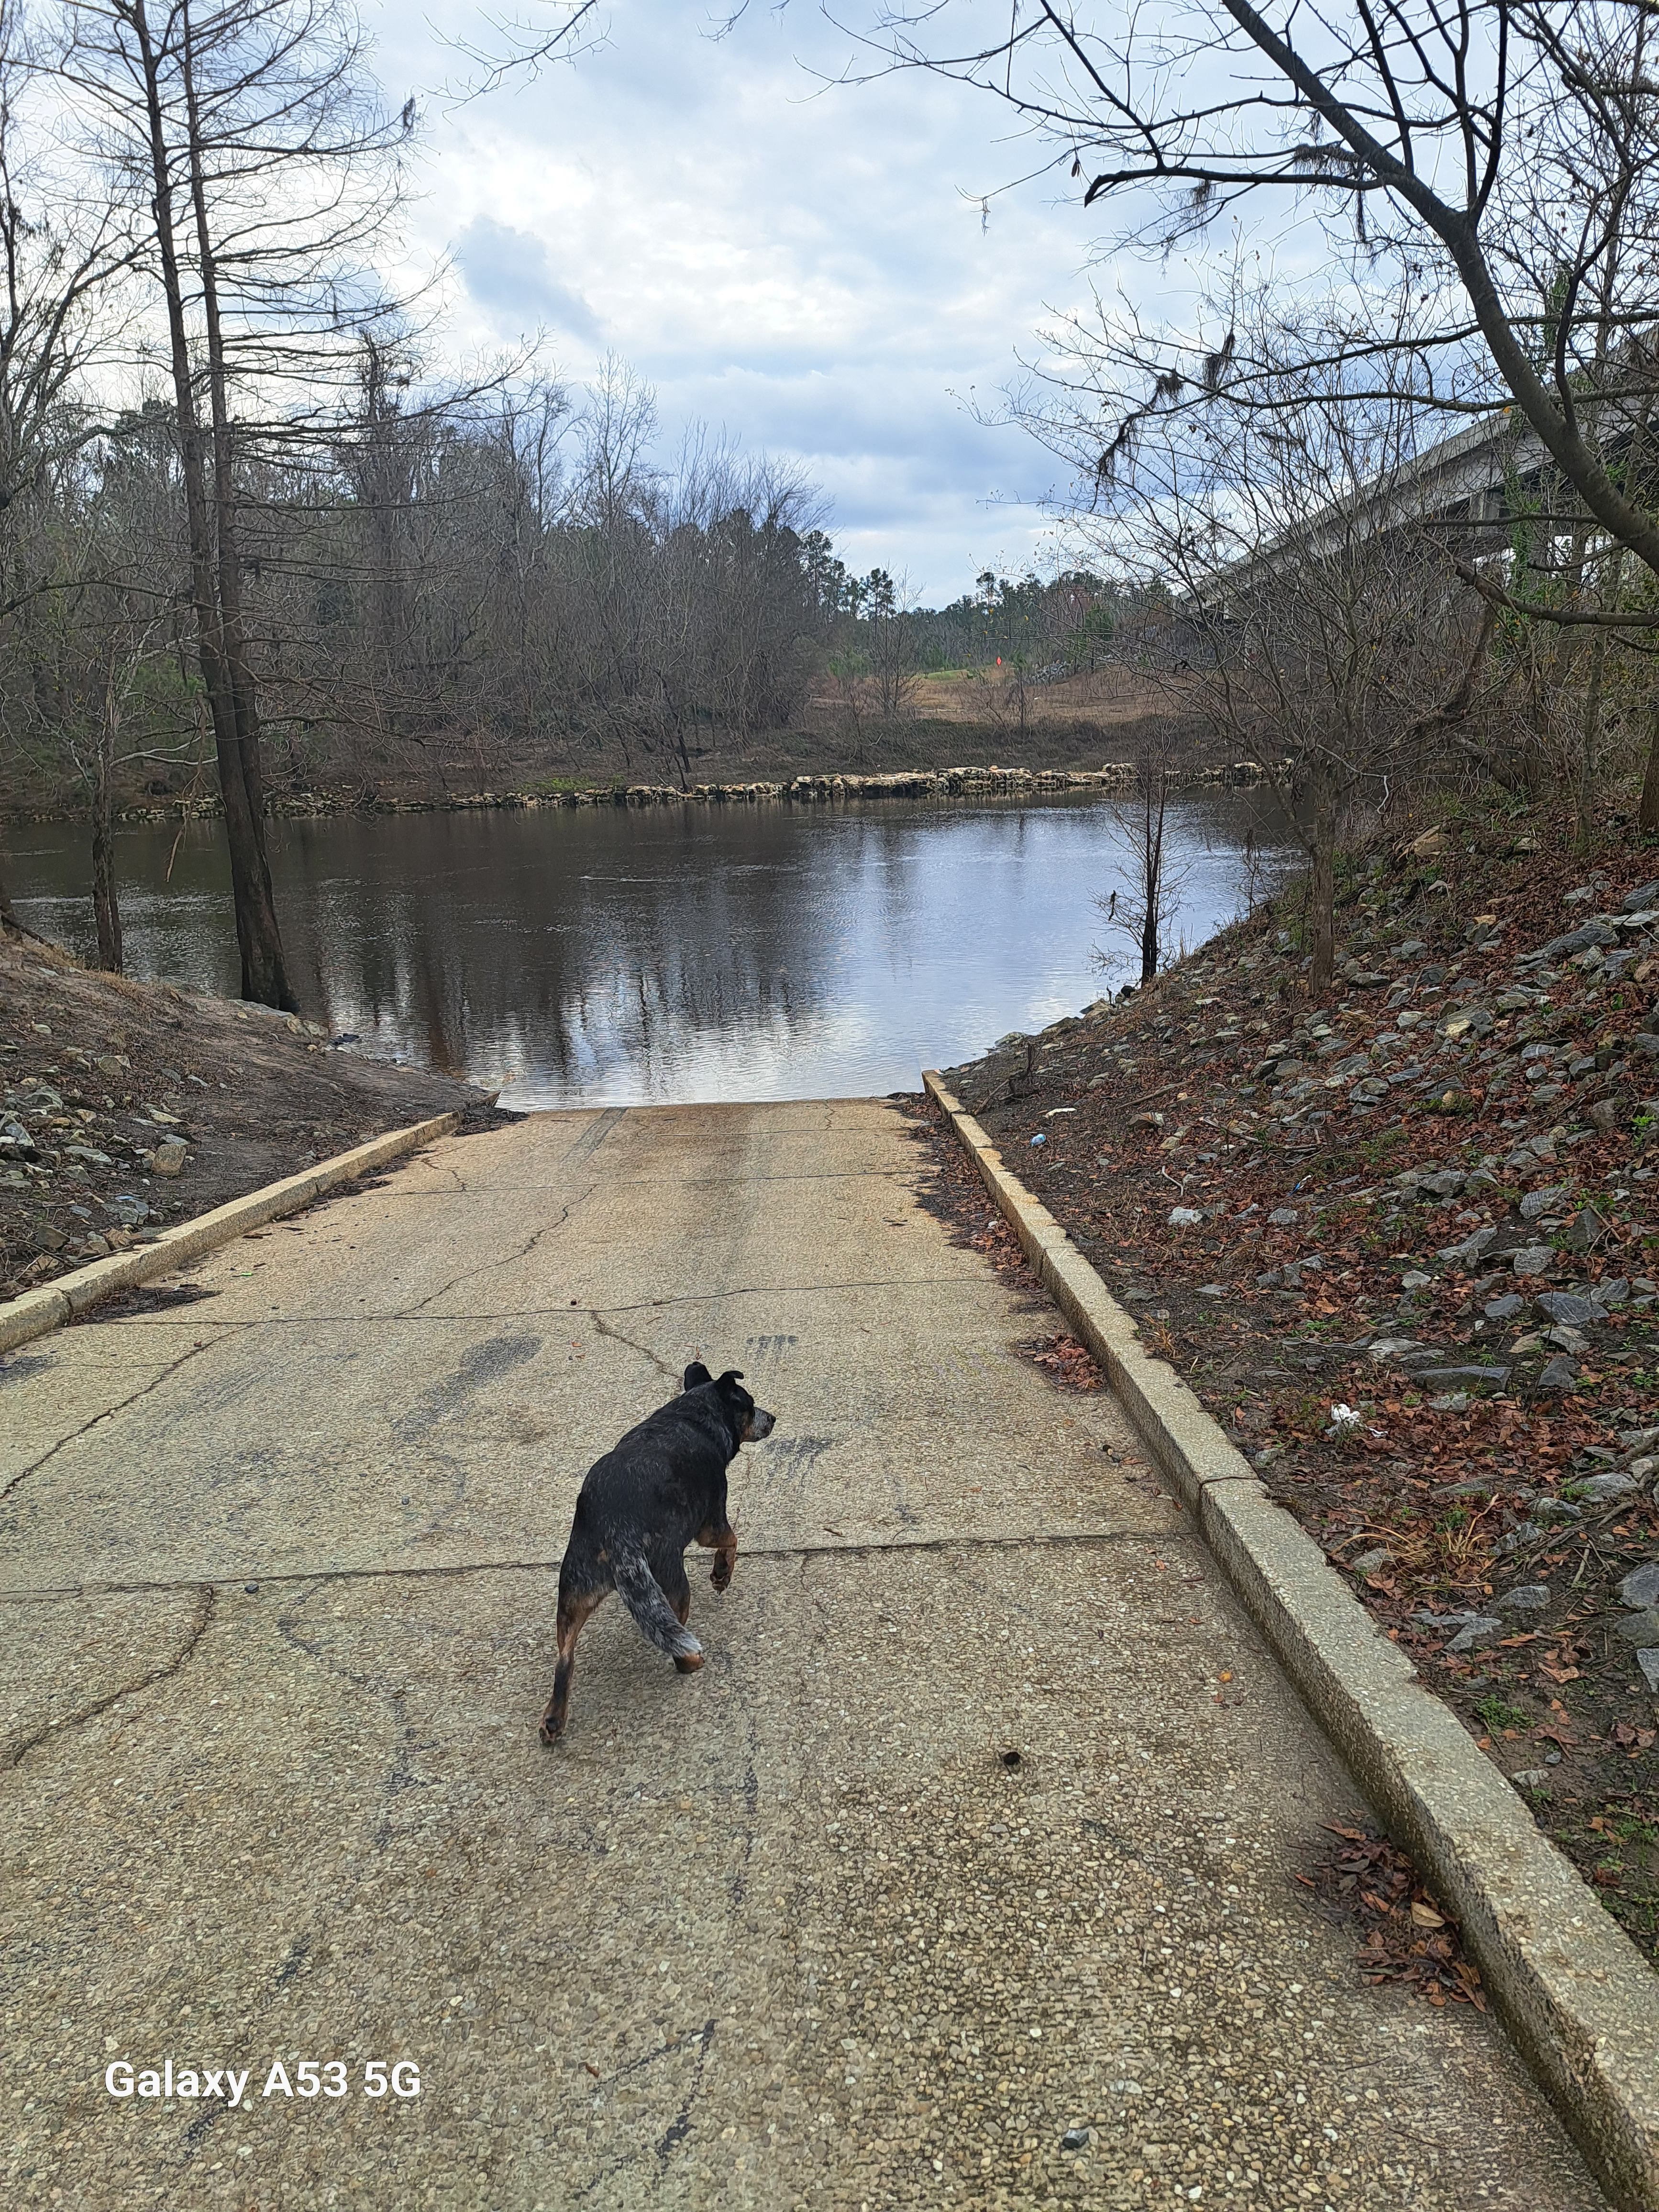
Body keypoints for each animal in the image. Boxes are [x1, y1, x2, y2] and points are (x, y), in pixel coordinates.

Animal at [542, 1362, 783, 1743]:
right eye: (749, 1404)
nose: (772, 1418)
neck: (693, 1414)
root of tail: (617, 1526)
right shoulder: (711, 1524)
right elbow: (733, 1541)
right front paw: (722, 1573)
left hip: (574, 1592)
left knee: (564, 1661)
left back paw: (553, 1719)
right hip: (672, 1585)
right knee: (677, 1645)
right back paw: (693, 1663)